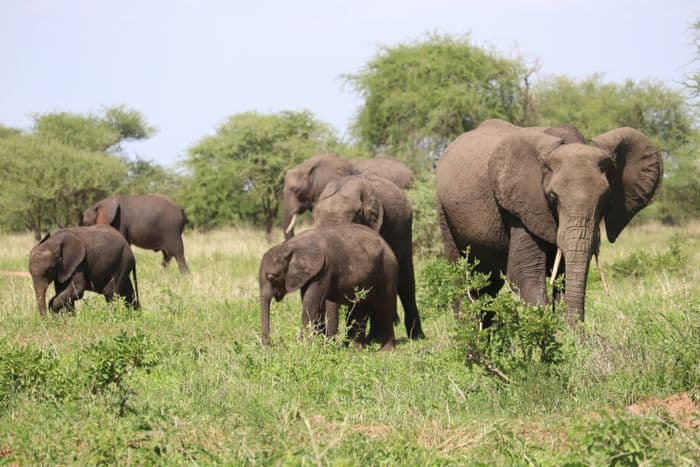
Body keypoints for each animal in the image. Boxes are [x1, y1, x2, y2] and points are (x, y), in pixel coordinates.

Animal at [259, 224, 399, 351]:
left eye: (271, 277)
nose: (269, 345)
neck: (290, 246)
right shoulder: (310, 273)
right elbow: (316, 304)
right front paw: (320, 345)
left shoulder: (324, 269)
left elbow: (311, 303)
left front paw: (306, 346)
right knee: (360, 307)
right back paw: (354, 349)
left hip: (388, 271)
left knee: (384, 307)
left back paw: (386, 352)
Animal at [436, 119, 663, 325]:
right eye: (552, 197)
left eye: (606, 198)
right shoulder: (521, 206)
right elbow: (524, 273)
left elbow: (565, 276)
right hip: (443, 211)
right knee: (462, 275)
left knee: (488, 283)